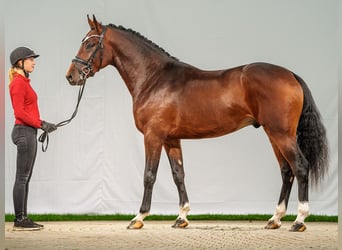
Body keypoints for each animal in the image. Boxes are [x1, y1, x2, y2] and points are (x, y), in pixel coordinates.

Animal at [66, 14, 328, 231]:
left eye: (90, 44)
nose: (71, 76)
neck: (154, 79)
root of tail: (291, 75)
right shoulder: (171, 139)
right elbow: (178, 174)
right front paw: (181, 217)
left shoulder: (153, 136)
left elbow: (149, 174)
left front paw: (138, 218)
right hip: (274, 135)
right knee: (286, 171)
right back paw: (275, 219)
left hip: (280, 134)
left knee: (300, 167)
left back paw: (299, 220)